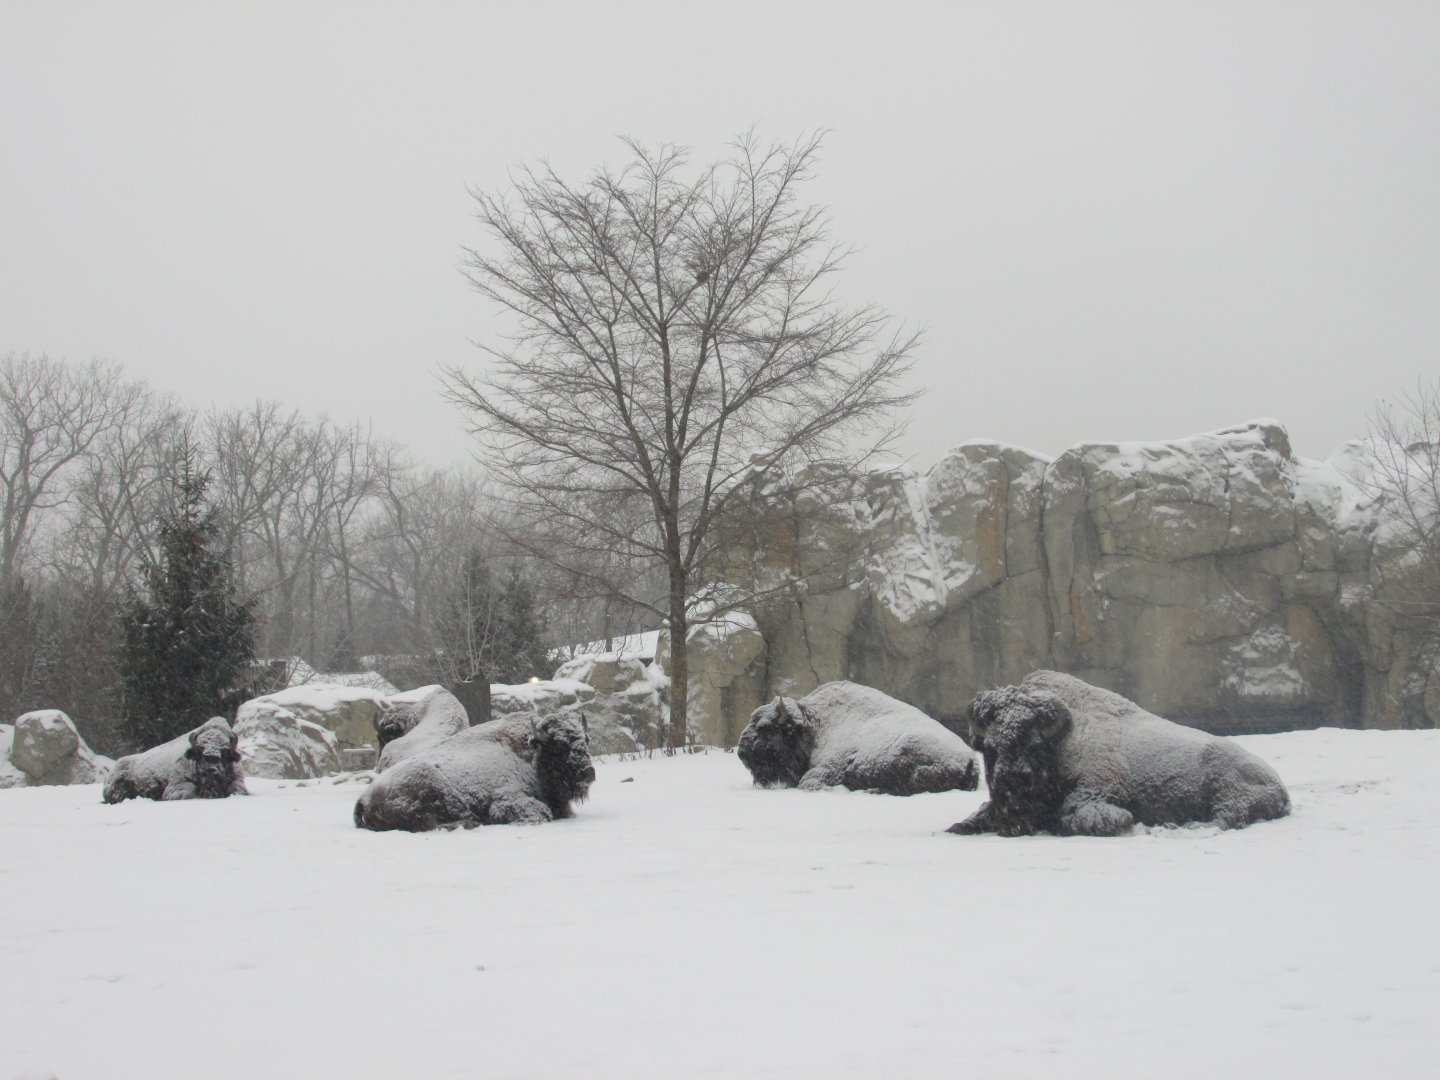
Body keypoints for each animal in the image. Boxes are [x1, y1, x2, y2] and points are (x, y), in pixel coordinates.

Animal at [103, 717, 249, 803]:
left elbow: (237, 788)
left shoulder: (237, 781)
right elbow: (191, 789)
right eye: (200, 750)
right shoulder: (173, 788)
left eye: (224, 750)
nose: (211, 767)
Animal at [354, 710, 595, 831]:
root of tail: (363, 799)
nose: (588, 773)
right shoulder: (506, 801)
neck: (531, 756)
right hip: (428, 781)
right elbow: (541, 812)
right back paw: (471, 823)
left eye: (586, 740)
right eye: (559, 745)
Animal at [947, 670, 1291, 837]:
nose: (1011, 785)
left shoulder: (1100, 788)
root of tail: (1279, 785)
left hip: (1225, 784)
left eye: (1033, 745)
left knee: (1227, 817)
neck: (1061, 744)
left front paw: (1123, 820)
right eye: (990, 749)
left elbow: (1075, 814)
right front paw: (961, 826)